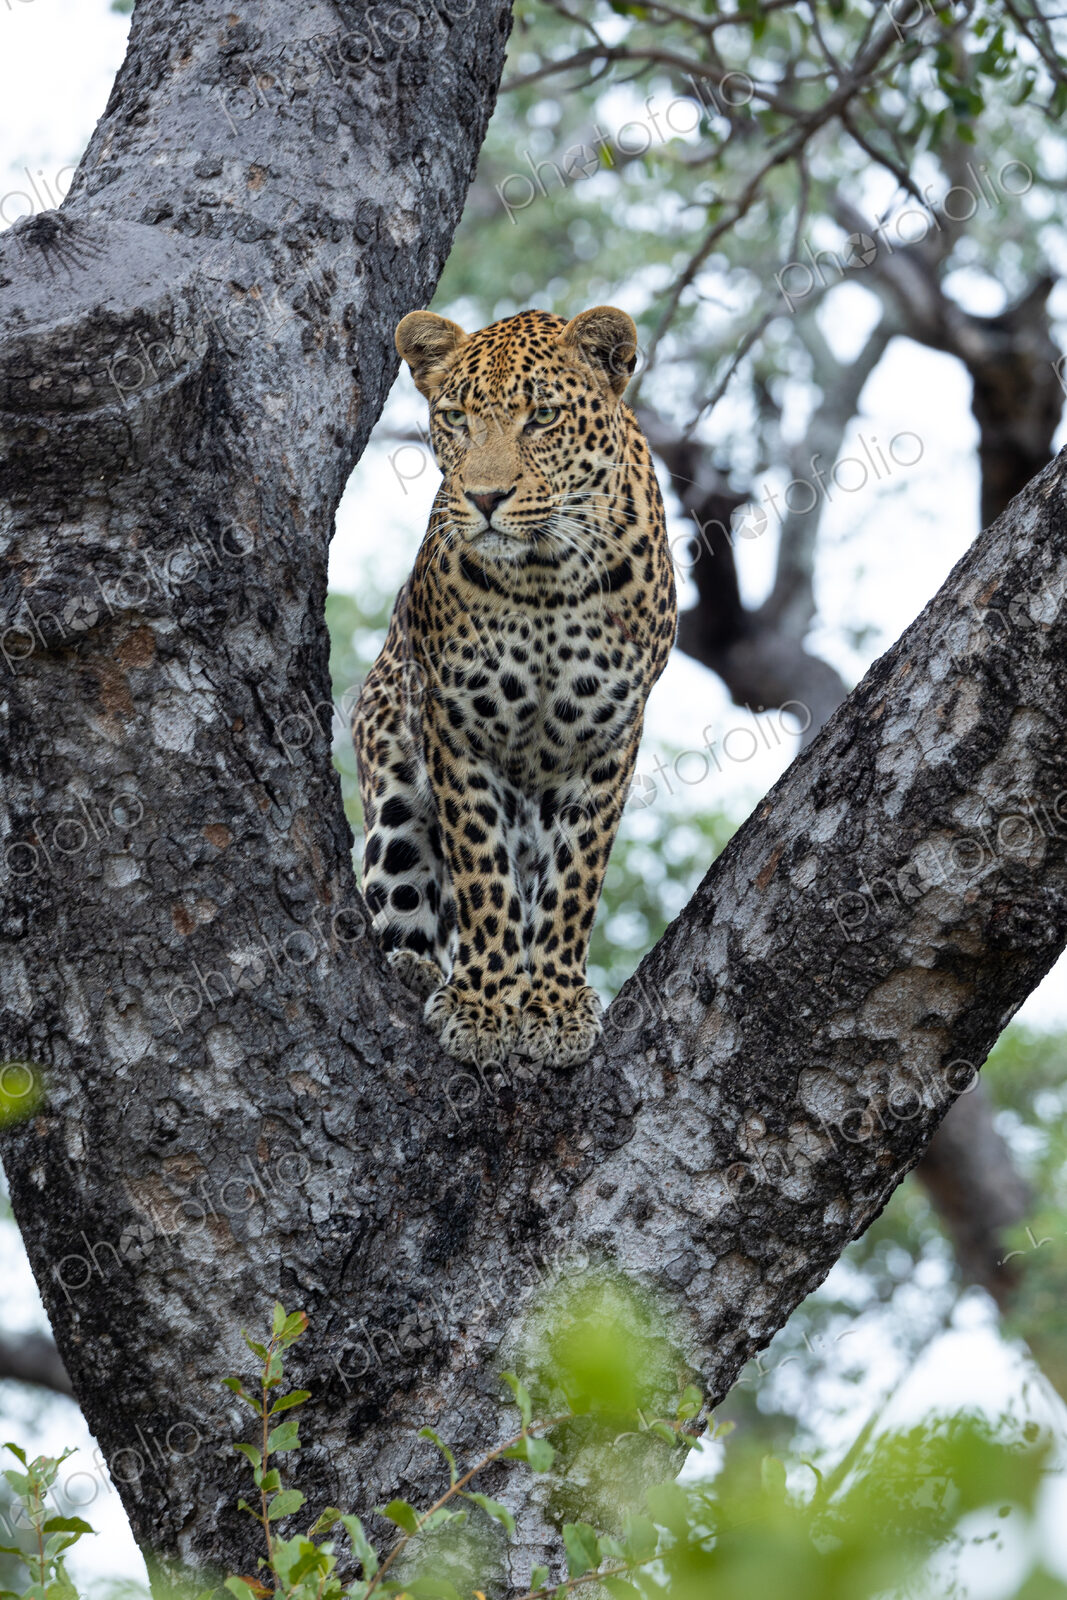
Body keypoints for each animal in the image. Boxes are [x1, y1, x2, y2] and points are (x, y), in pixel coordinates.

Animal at [352, 304, 677, 1070]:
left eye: (543, 416)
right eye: (456, 418)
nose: (484, 497)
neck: (543, 578)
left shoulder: (609, 736)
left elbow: (576, 877)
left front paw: (553, 1005)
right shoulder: (456, 728)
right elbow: (480, 870)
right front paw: (482, 1003)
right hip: (391, 784)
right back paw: (412, 967)